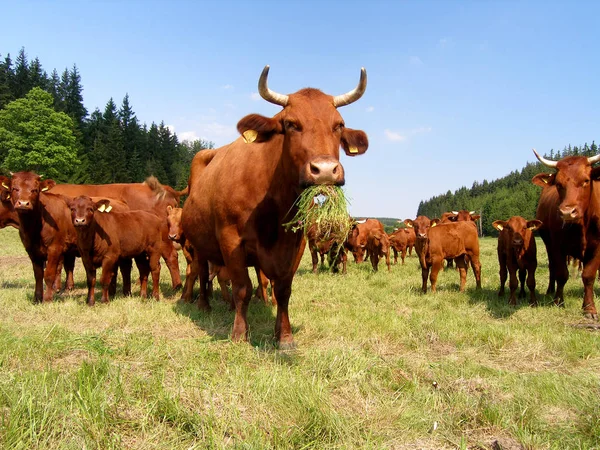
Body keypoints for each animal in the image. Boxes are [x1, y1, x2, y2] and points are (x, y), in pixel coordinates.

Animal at [0, 172, 79, 302]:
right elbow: (38, 275)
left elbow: (50, 273)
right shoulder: (32, 250)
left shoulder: (55, 249)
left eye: (35, 190)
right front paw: (37, 298)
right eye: (15, 188)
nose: (23, 203)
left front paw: (48, 297)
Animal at [50, 178, 183, 290]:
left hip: (164, 239)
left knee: (171, 256)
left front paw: (57, 287)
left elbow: (59, 265)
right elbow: (68, 265)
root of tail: (165, 189)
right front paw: (68, 286)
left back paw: (176, 285)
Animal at [180, 65, 368, 346]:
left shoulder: (297, 243)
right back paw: (204, 305)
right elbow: (242, 288)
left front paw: (284, 335)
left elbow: (283, 289)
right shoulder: (230, 239)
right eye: (290, 124)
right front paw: (239, 334)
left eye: (339, 125)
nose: (324, 170)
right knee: (201, 271)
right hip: (199, 241)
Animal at [528, 149, 600, 318]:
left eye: (586, 180)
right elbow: (561, 273)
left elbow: (588, 276)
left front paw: (589, 308)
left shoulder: (597, 248)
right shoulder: (556, 246)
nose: (567, 212)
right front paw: (558, 301)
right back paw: (550, 291)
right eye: (559, 184)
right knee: (552, 267)